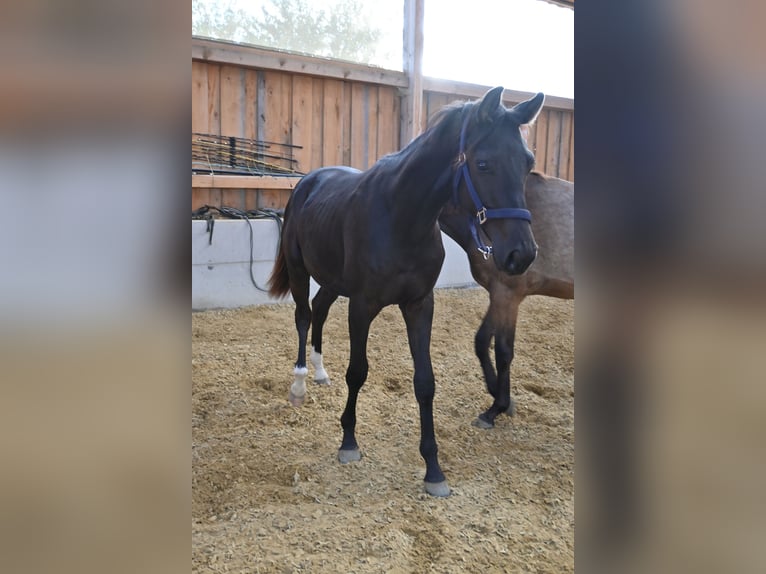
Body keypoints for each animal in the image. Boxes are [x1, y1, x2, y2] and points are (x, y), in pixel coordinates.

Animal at [270, 88, 544, 498]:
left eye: (528, 163)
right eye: (483, 164)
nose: (521, 254)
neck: (401, 215)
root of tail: (309, 182)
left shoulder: (419, 304)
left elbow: (425, 383)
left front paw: (433, 469)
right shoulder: (362, 306)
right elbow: (358, 372)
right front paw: (349, 441)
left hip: (333, 281)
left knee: (319, 310)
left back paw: (319, 372)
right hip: (301, 271)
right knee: (303, 317)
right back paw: (300, 384)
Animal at [440, 170, 572, 428]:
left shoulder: (508, 295)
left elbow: (503, 352)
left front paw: (495, 409)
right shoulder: (498, 294)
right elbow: (481, 341)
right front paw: (502, 398)